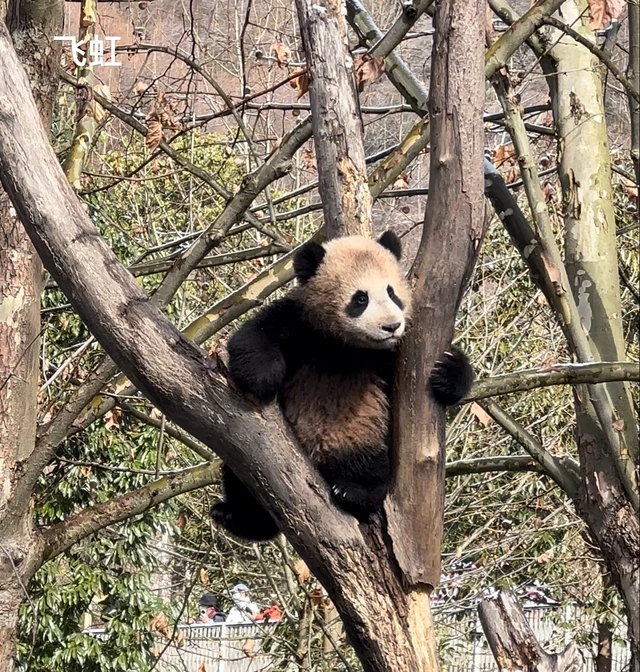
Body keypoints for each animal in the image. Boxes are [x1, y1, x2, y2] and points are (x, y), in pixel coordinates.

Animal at [211, 231, 473, 541]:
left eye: (392, 293)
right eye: (360, 298)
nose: (391, 326)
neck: (347, 345)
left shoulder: (390, 355)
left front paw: (448, 371)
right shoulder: (301, 322)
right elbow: (253, 337)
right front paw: (263, 378)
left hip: (364, 438)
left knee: (370, 468)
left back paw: (353, 492)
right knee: (240, 479)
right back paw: (238, 518)